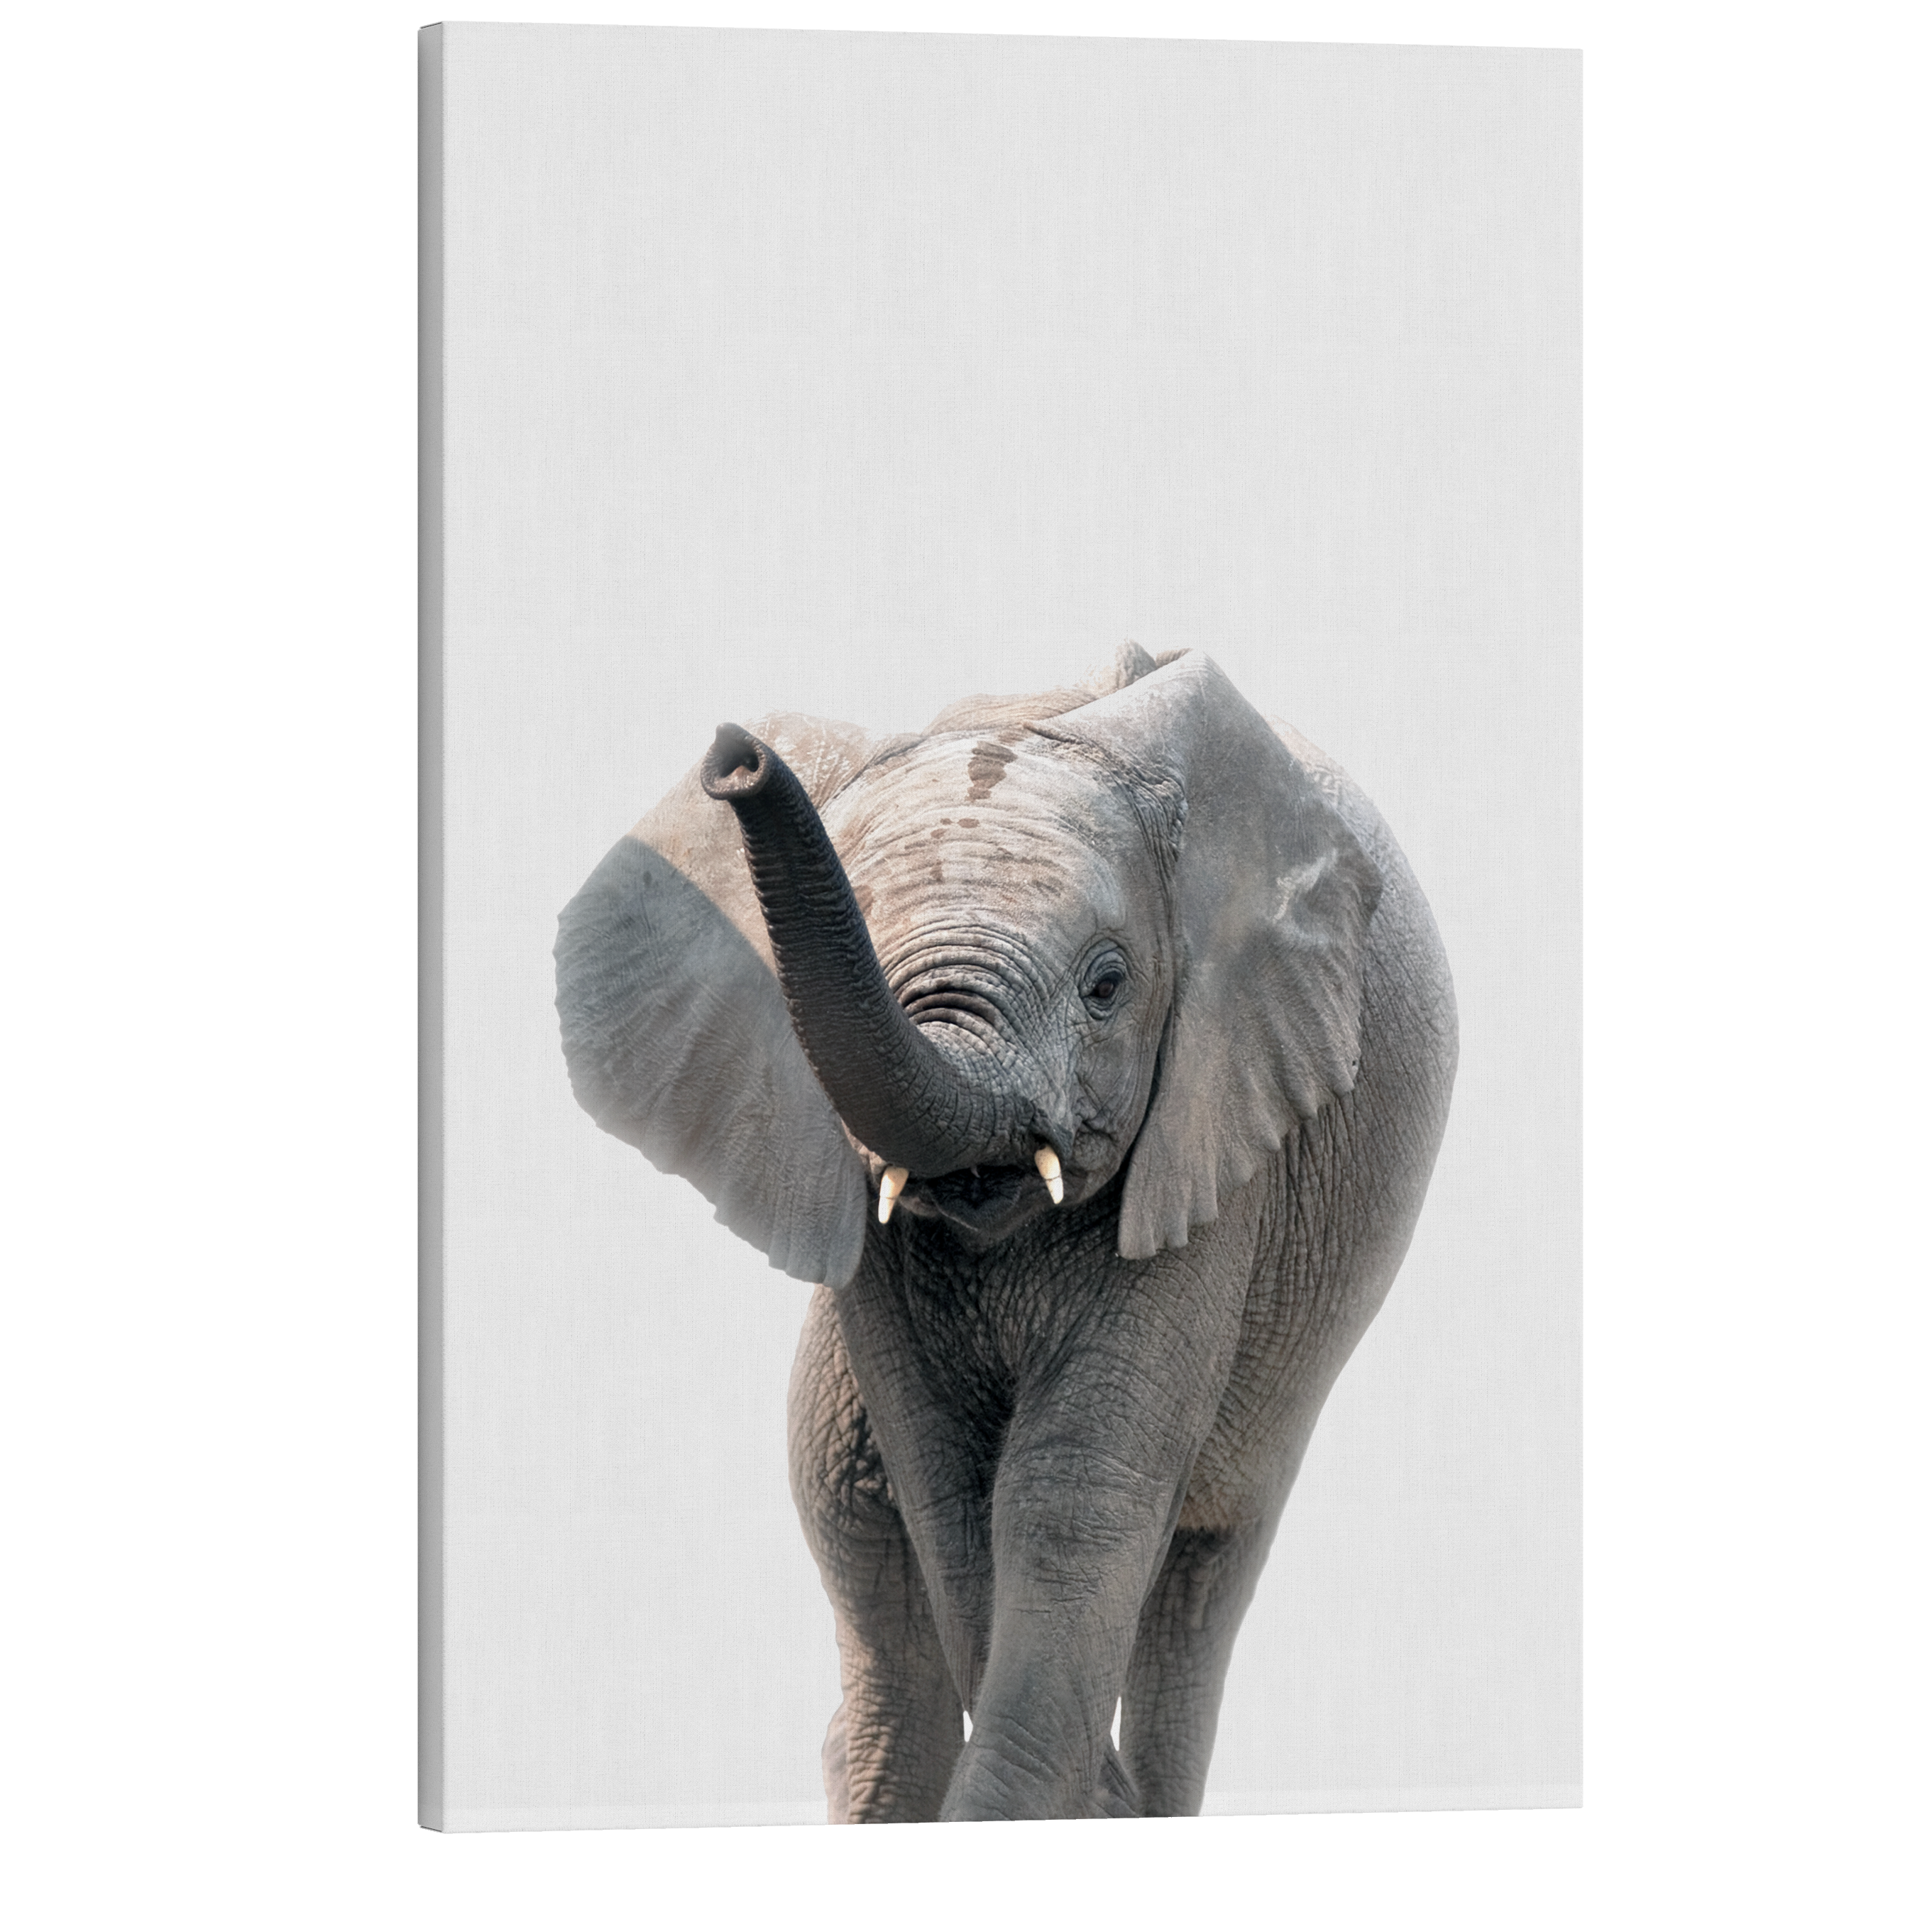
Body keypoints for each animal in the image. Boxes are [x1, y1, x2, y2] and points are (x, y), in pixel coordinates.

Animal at [554, 642, 1456, 1822]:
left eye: (1108, 984)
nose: (736, 755)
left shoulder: (1218, 1127)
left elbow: (1067, 1482)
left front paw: (1090, 1801)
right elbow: (949, 1482)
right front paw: (1083, 1800)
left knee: (1203, 1574)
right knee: (865, 1543)